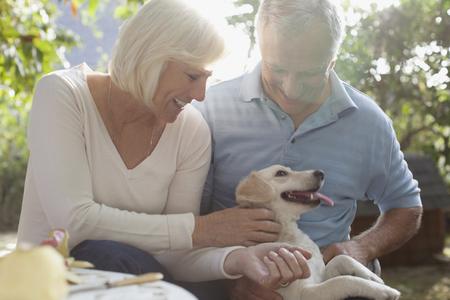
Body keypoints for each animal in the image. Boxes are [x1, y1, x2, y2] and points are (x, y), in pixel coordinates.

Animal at [236, 165, 400, 300]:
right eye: (281, 173)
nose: (321, 173)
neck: (288, 233)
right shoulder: (303, 294)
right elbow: (341, 281)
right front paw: (382, 290)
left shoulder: (320, 275)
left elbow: (340, 258)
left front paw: (372, 277)